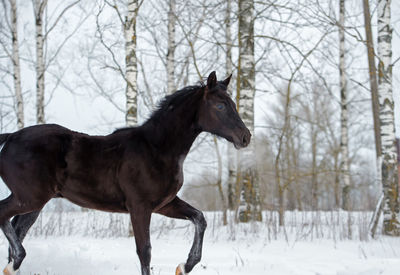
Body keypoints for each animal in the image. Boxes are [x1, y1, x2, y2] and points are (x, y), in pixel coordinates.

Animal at [0, 71, 250, 275]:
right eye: (220, 106)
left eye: (233, 103)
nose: (245, 137)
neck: (156, 148)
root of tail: (11, 137)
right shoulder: (139, 206)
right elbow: (144, 251)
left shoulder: (164, 204)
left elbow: (200, 218)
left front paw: (184, 266)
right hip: (29, 198)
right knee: (5, 218)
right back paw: (15, 263)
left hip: (35, 203)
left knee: (16, 229)